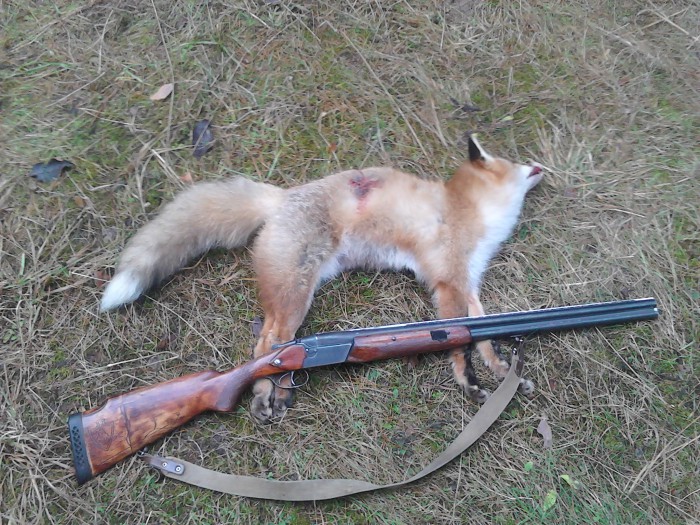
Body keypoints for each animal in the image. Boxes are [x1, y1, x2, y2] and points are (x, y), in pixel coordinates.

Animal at [100, 135, 543, 424]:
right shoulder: (448, 282)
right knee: (267, 343)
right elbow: (459, 343)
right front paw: (469, 383)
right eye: (513, 162)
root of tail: (281, 197)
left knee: (272, 343)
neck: (472, 211)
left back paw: (277, 394)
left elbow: (483, 337)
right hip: (296, 295)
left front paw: (504, 375)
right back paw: (266, 397)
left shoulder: (468, 282)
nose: (539, 164)